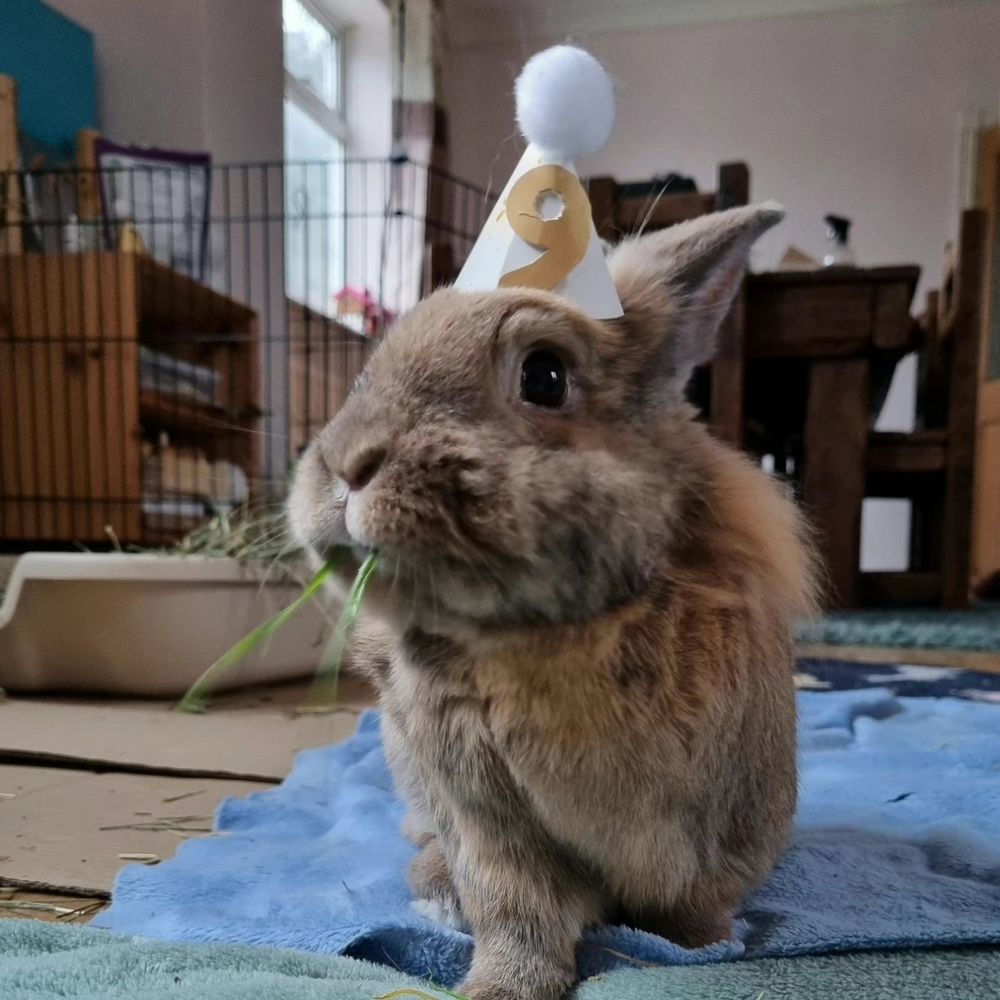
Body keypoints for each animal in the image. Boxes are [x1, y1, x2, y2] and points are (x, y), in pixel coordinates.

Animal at [288, 202, 818, 1000]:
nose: (346, 466)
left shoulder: (710, 832)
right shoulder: (492, 824)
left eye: (545, 375)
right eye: (364, 375)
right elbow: (519, 917)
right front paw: (498, 989)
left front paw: (703, 948)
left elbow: (693, 903)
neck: (549, 633)